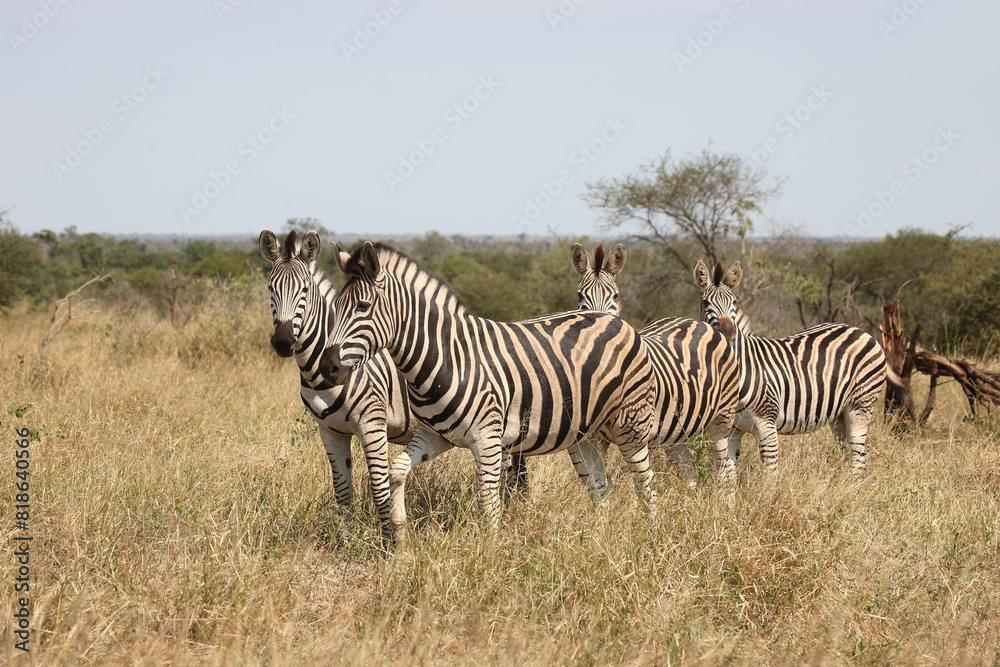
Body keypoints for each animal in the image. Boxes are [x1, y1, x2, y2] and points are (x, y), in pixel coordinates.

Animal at [259, 229, 420, 542]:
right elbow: (343, 491)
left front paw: (386, 543)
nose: (283, 342)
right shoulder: (330, 431)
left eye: (304, 291)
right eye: (271, 288)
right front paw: (346, 541)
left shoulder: (372, 424)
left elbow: (379, 488)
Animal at [323, 241, 659, 544]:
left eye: (363, 307)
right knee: (601, 491)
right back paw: (599, 543)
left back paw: (651, 539)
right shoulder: (435, 436)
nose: (328, 368)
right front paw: (401, 542)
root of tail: (611, 318)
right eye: (335, 308)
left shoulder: (487, 439)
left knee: (646, 485)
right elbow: (396, 471)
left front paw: (490, 553)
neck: (450, 357)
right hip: (584, 437)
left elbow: (488, 503)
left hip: (630, 425)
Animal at [571, 242, 740, 486]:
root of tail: (686, 319)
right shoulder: (594, 439)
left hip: (721, 420)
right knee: (689, 469)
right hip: (678, 429)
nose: (601, 329)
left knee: (725, 469)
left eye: (616, 296)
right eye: (580, 295)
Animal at [693, 259, 887, 483]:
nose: (728, 333)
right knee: (854, 453)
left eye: (734, 302)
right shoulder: (732, 429)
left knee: (858, 453)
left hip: (861, 404)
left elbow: (770, 474)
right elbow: (729, 473)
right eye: (705, 303)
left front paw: (769, 492)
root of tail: (859, 331)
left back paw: (856, 486)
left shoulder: (767, 423)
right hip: (839, 414)